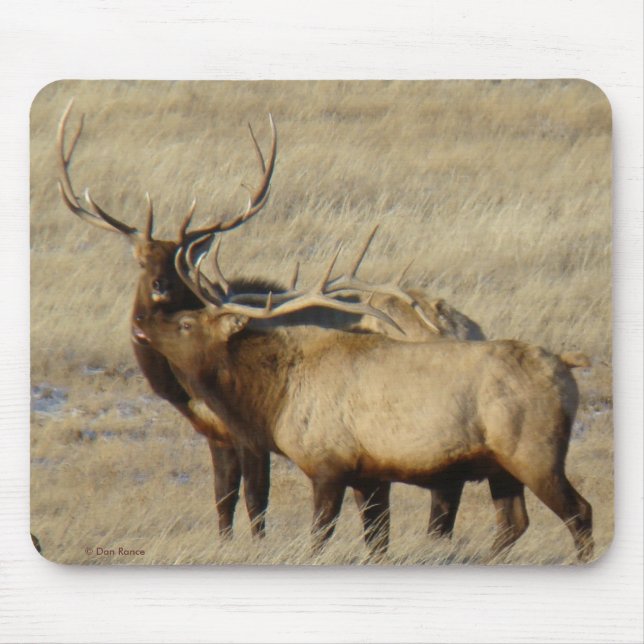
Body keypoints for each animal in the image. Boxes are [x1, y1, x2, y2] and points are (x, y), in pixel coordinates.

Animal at [132, 232, 595, 562]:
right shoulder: (367, 473)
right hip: (501, 466)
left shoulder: (327, 464)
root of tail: (566, 366)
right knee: (512, 523)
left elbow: (319, 537)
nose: (143, 323)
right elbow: (376, 541)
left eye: (187, 323)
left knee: (580, 512)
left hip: (535, 452)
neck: (275, 400)